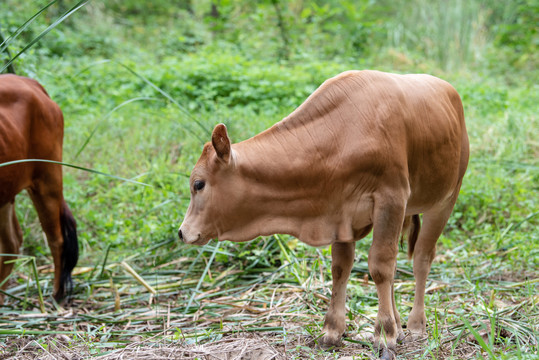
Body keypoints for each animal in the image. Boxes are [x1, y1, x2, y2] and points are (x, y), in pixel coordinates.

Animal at [0, 74, 78, 304]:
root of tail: (30, 82)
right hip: (7, 191)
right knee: (12, 243)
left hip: (47, 179)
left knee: (56, 238)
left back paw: (57, 293)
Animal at [179, 69, 470, 358]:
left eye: (198, 184)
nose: (182, 232)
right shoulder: (339, 212)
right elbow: (341, 268)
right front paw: (333, 330)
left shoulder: (392, 198)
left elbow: (380, 267)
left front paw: (384, 334)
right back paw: (400, 326)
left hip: (445, 199)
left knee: (421, 258)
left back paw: (416, 324)